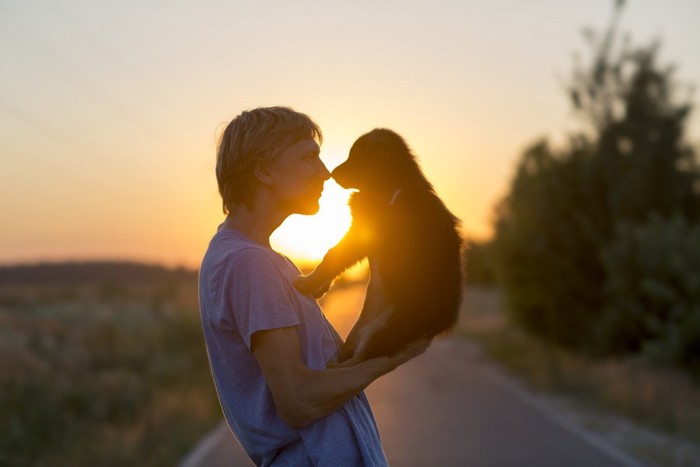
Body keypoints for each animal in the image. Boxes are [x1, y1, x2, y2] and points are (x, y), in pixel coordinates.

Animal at [296, 129, 464, 366]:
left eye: (357, 158)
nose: (332, 174)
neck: (391, 184)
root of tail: (442, 321)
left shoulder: (361, 232)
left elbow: (334, 256)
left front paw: (308, 282)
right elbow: (336, 257)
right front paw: (319, 286)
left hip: (391, 323)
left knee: (363, 359)